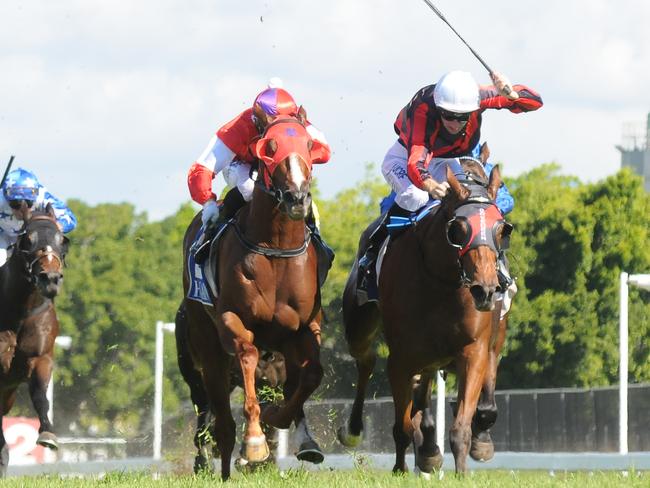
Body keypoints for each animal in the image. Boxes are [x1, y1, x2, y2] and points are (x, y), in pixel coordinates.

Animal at [0, 204, 68, 474]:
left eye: (62, 240)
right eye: (28, 239)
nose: (50, 278)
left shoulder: (41, 357)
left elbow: (40, 395)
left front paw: (48, 434)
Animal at [181, 114, 324, 480]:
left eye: (308, 144)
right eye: (268, 147)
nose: (297, 198)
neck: (276, 248)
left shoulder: (302, 329)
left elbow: (311, 375)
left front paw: (287, 426)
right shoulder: (234, 321)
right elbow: (247, 356)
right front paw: (255, 442)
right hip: (206, 352)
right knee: (219, 421)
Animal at [336, 162, 508, 474]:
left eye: (501, 228)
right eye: (458, 229)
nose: (486, 289)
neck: (441, 281)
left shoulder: (474, 350)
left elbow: (462, 425)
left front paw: (462, 471)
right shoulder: (401, 359)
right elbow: (401, 425)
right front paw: (400, 469)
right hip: (359, 327)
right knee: (366, 360)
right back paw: (355, 431)